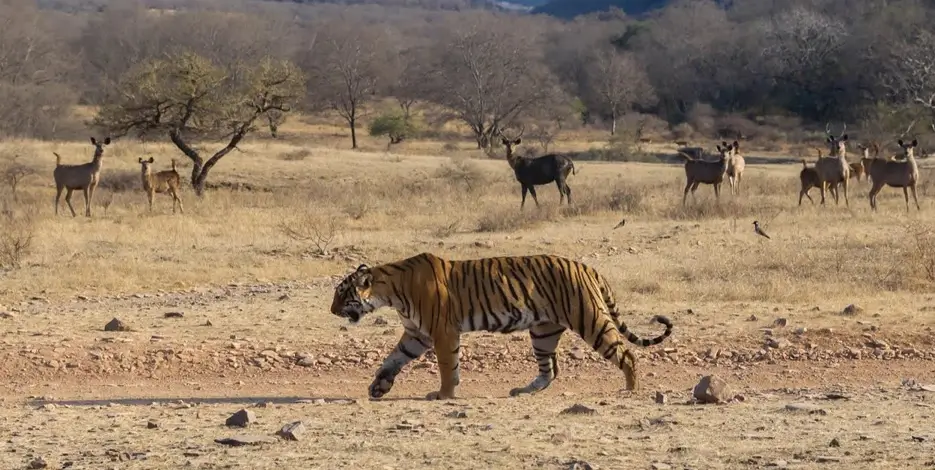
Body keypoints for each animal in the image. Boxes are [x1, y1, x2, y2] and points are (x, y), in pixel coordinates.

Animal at [329, 252, 673, 400]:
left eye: (342, 294)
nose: (331, 311)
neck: (391, 290)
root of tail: (587, 266)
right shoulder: (416, 334)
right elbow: (392, 359)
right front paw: (379, 386)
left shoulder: (442, 332)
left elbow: (447, 366)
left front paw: (443, 394)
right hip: (543, 331)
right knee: (549, 371)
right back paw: (523, 390)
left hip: (590, 320)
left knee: (626, 355)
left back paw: (630, 389)